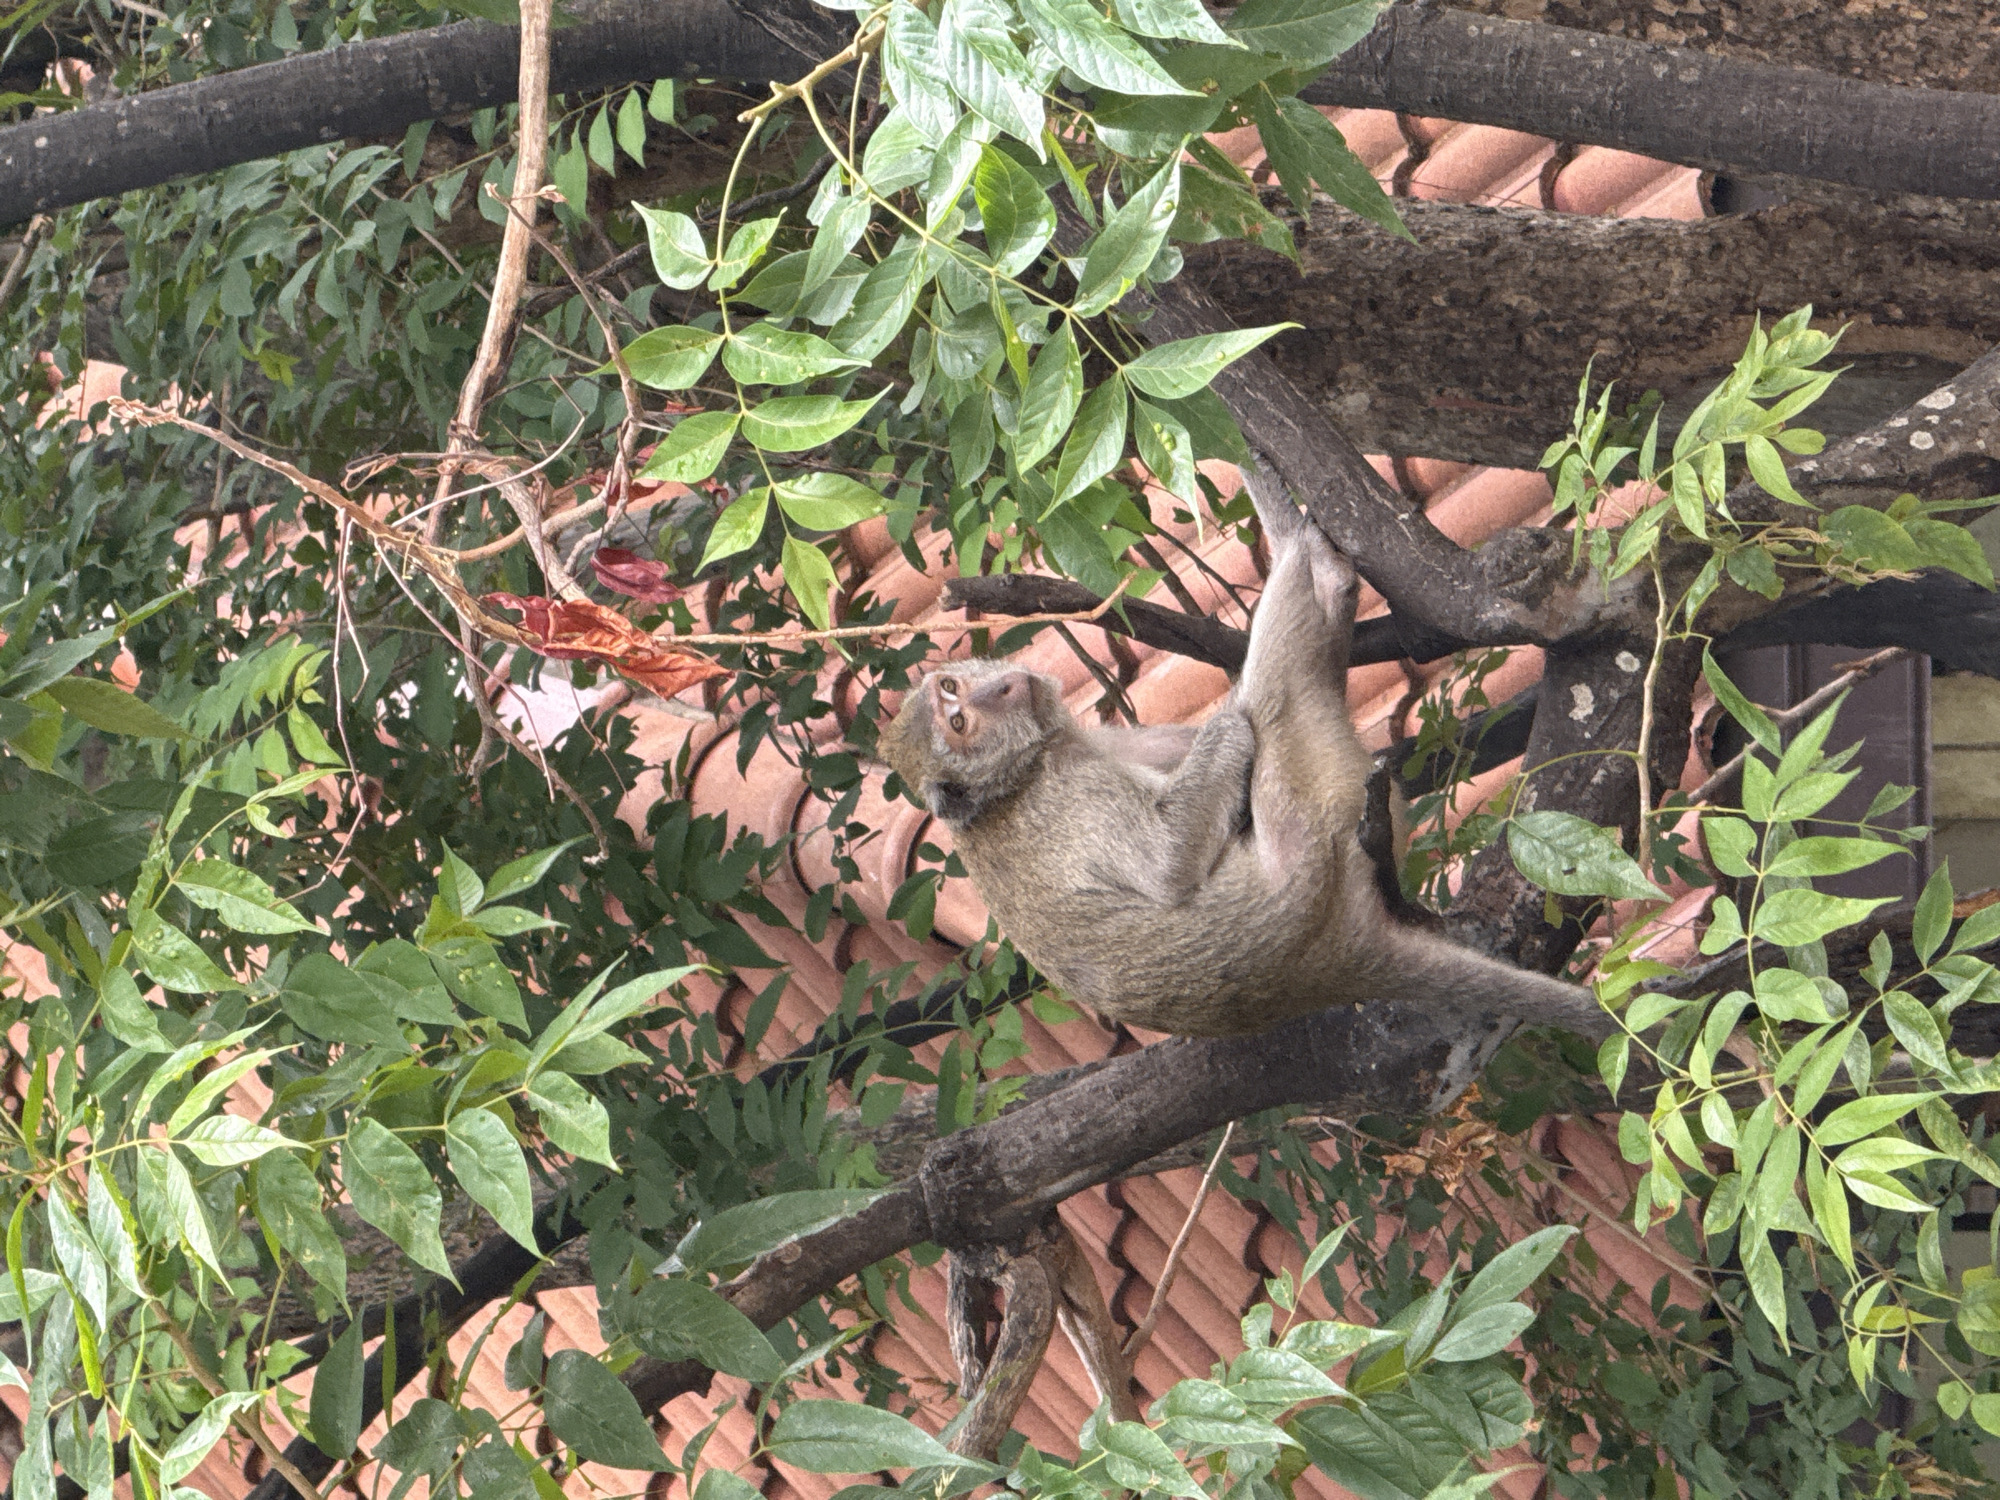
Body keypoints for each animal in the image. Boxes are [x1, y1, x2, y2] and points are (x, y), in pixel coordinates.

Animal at [879, 472, 1600, 1039]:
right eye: (960, 722)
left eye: (952, 692)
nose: (999, 688)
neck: (1013, 779)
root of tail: (1333, 966)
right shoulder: (1067, 794)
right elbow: (1168, 864)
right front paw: (1225, 729)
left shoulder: (1080, 741)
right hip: (1311, 842)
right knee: (1275, 702)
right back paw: (1319, 571)